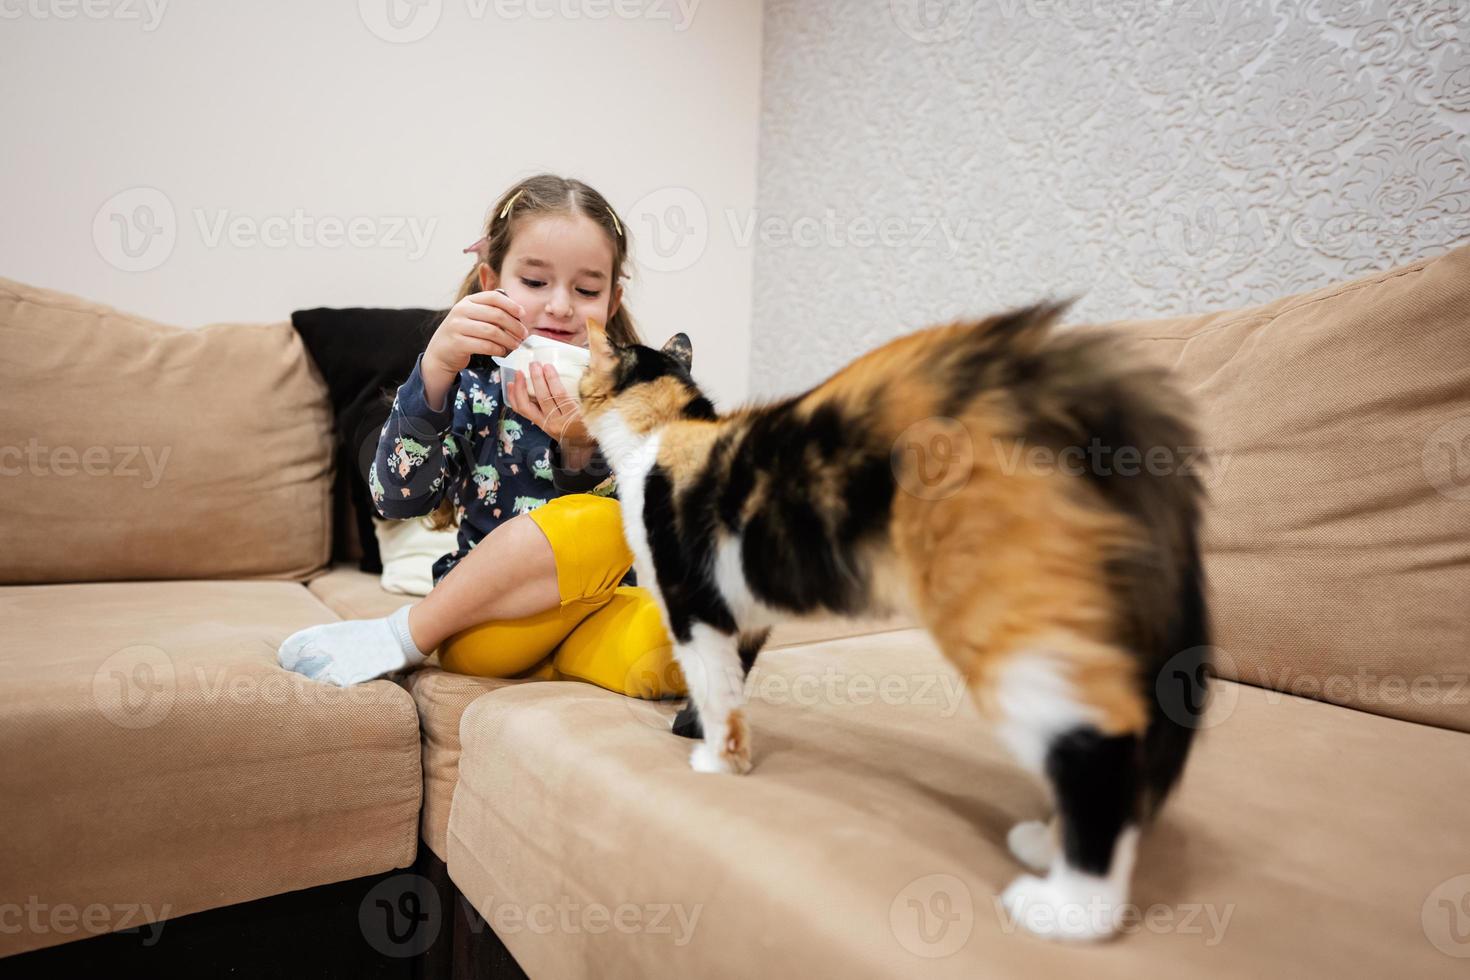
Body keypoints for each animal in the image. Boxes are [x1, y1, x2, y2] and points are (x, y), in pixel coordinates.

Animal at [579, 307, 1211, 940]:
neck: (669, 427)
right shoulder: (745, 611)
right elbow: (731, 682)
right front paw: (696, 728)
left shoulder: (692, 602)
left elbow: (715, 689)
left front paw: (718, 761)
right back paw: (1049, 843)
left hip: (1002, 616)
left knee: (1100, 741)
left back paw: (1072, 907)